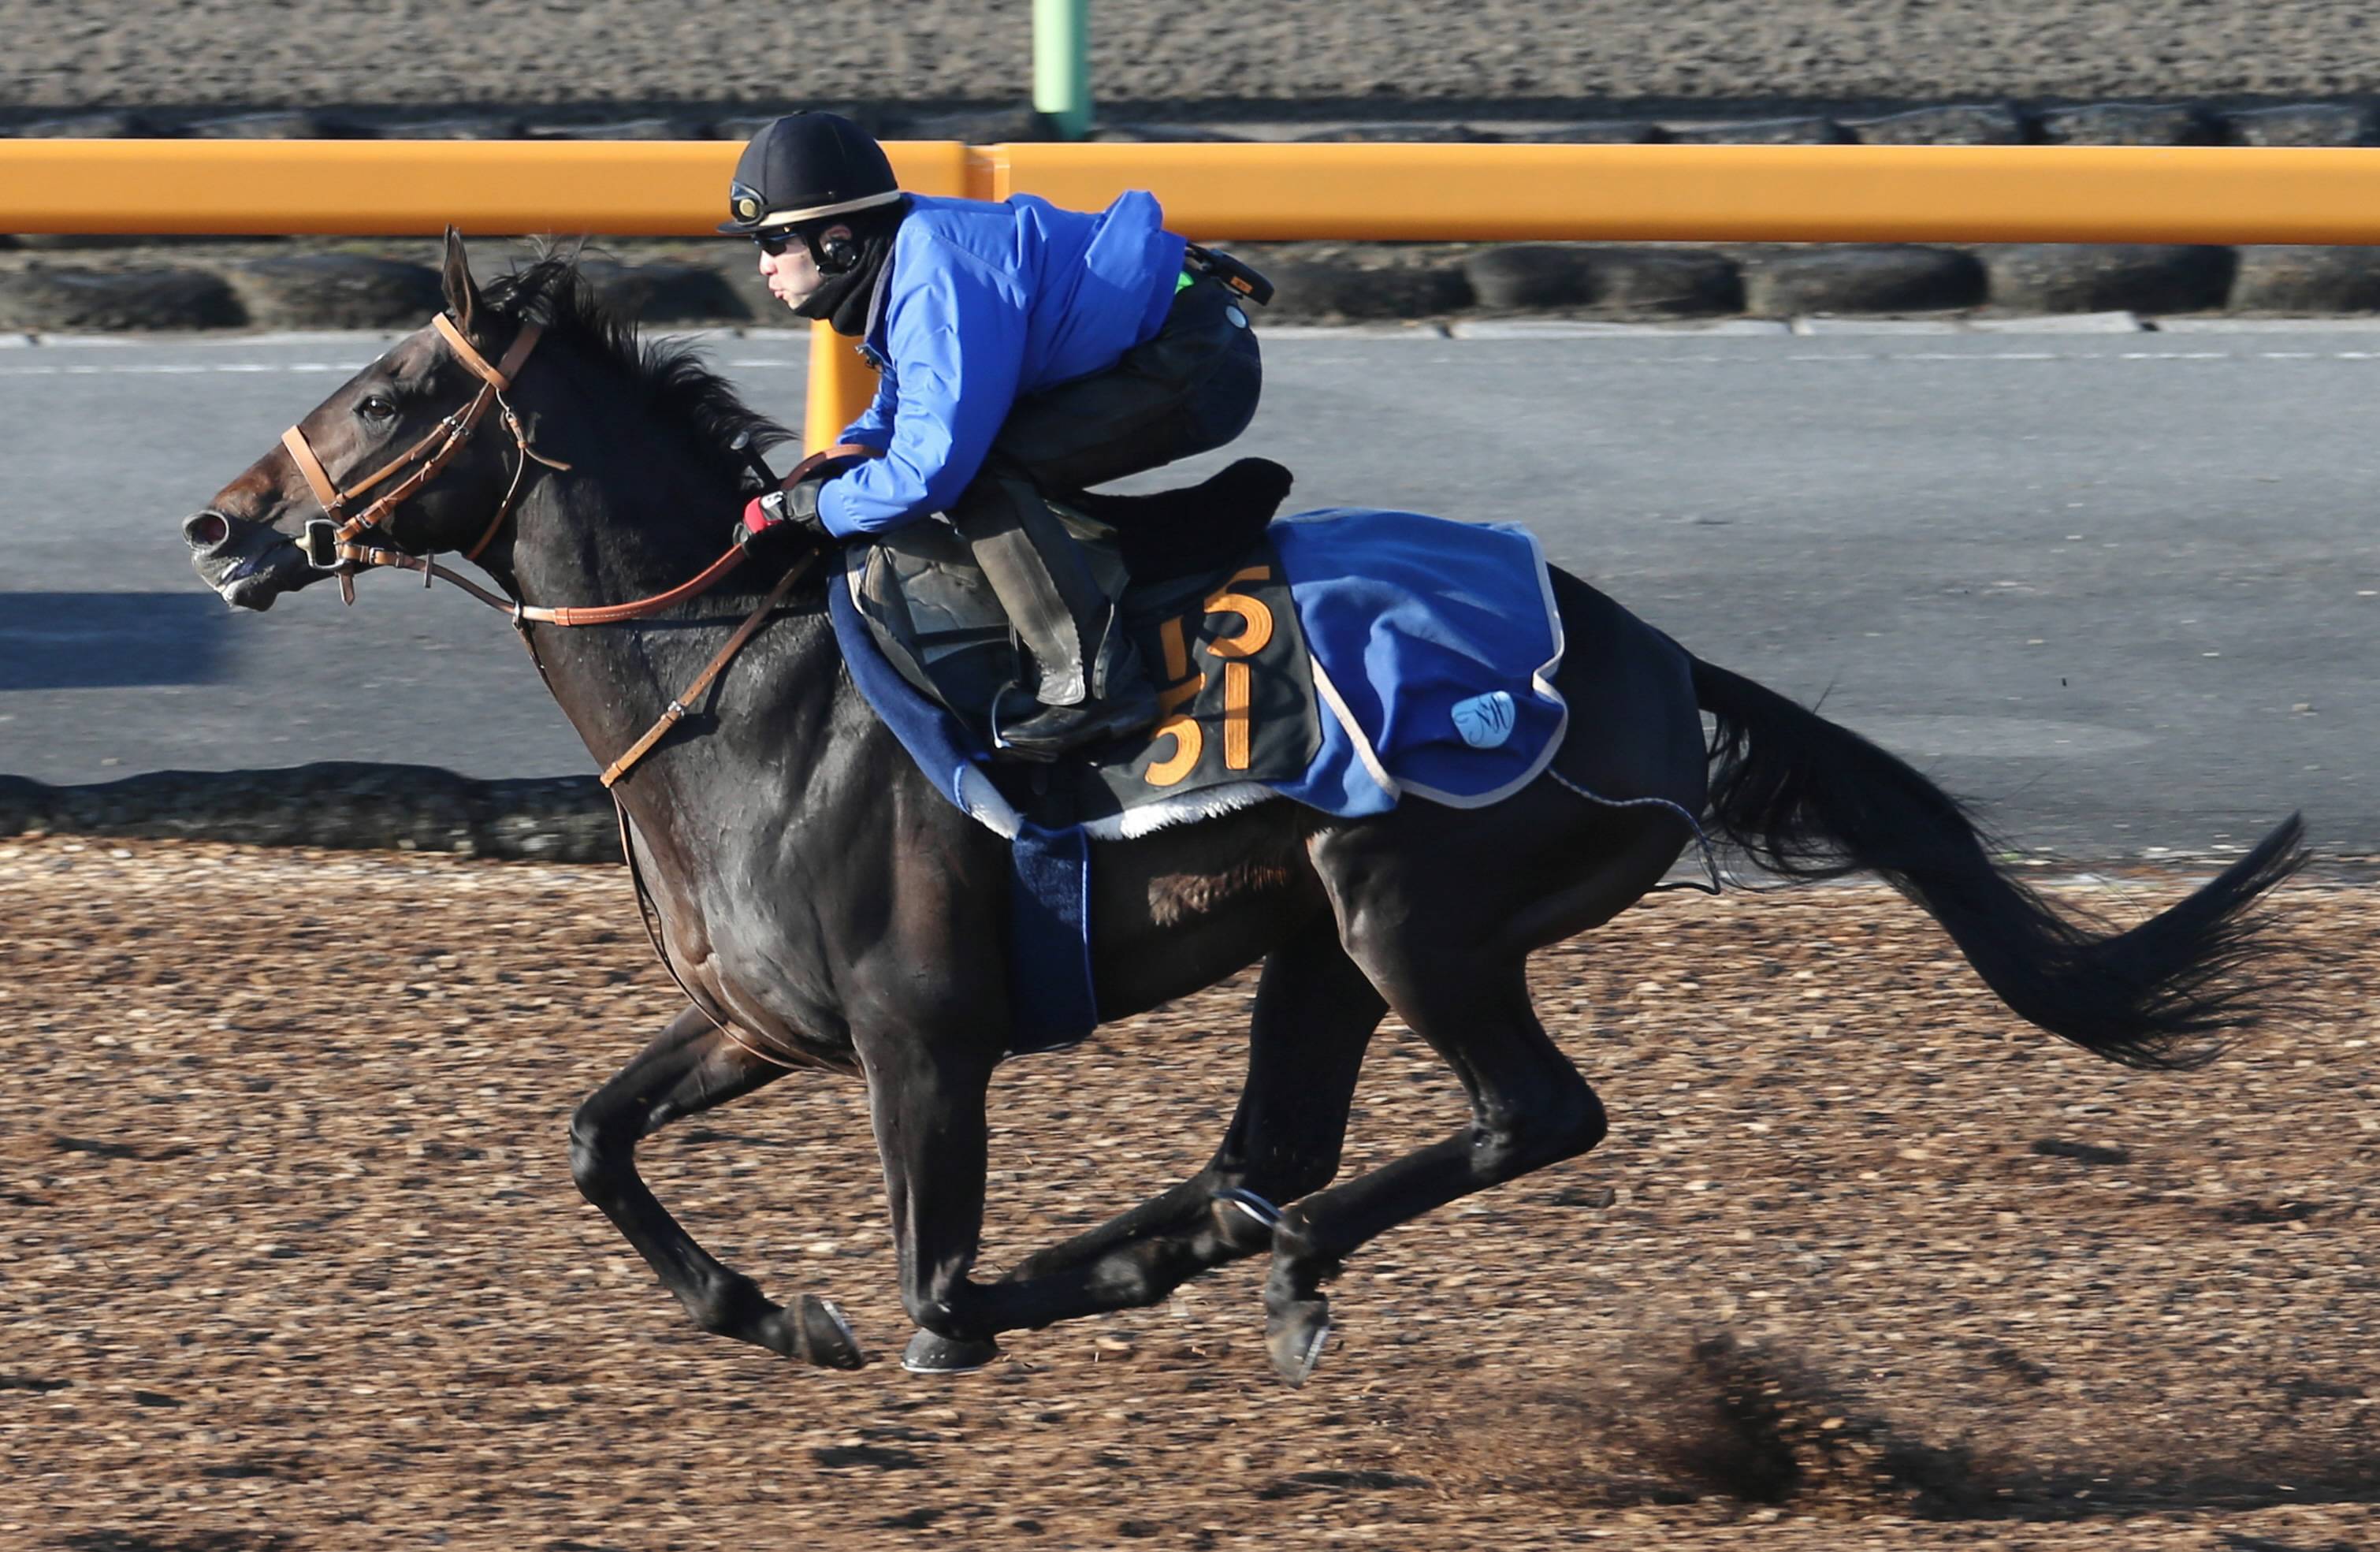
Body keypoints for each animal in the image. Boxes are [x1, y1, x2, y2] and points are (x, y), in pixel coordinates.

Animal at [181, 233, 2308, 1385]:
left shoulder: (918, 1037)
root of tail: (1656, 656)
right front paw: (761, 1312)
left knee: (1522, 1118)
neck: (742, 687)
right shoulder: (758, 1020)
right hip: (1316, 945)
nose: (218, 524)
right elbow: (592, 1141)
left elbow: (922, 1261)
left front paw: (914, 1319)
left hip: (1412, 911)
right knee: (1257, 1155)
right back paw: (1135, 1266)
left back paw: (1235, 1272)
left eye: (385, 395)